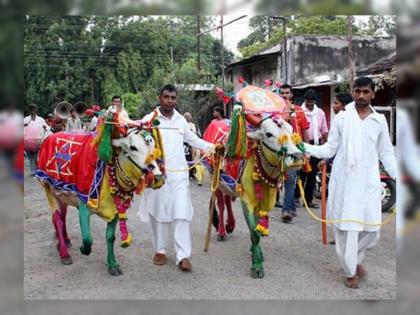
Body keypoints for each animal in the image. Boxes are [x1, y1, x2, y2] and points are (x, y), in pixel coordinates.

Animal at [36, 111, 165, 276]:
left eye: (154, 146)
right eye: (133, 147)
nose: (158, 178)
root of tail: (50, 137)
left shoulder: (116, 209)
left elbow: (110, 237)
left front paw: (112, 264)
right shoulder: (84, 205)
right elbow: (87, 239)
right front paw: (83, 249)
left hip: (62, 194)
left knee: (62, 215)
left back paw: (64, 241)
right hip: (48, 188)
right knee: (57, 218)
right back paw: (64, 253)